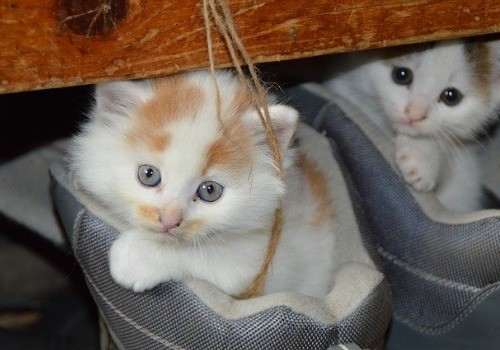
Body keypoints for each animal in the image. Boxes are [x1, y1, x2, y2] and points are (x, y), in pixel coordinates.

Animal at [70, 70, 336, 298]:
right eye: (148, 175)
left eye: (210, 191)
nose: (169, 220)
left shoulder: (269, 263)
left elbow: (207, 253)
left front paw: (137, 257)